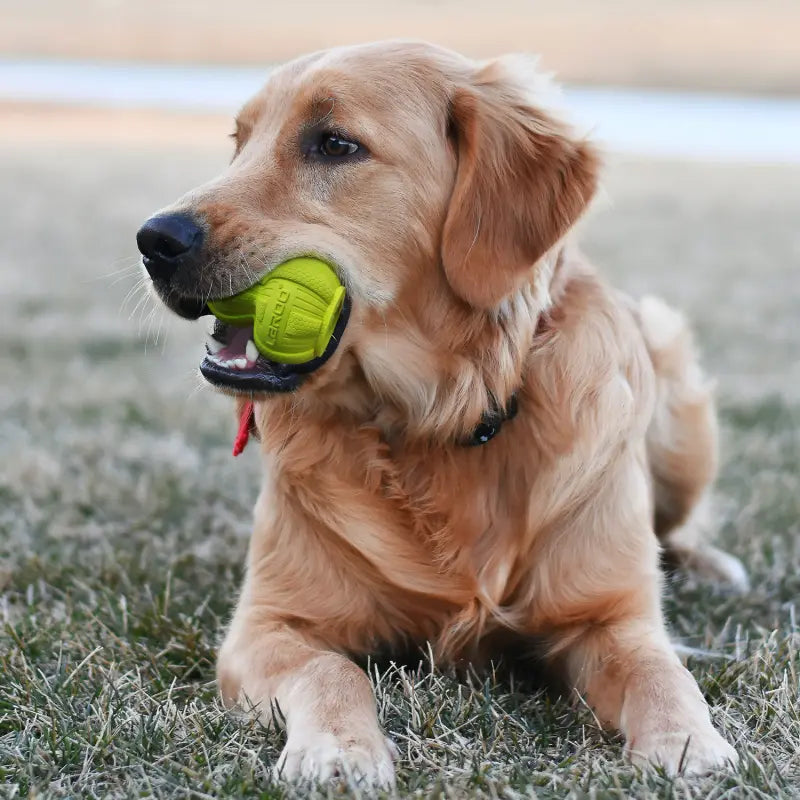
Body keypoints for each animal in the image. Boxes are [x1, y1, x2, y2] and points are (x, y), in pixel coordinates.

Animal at [136, 40, 744, 784]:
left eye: (334, 144)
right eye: (240, 142)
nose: (153, 240)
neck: (439, 419)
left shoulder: (613, 617)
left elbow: (662, 673)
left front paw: (689, 743)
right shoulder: (269, 624)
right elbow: (332, 673)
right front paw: (339, 749)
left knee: (680, 524)